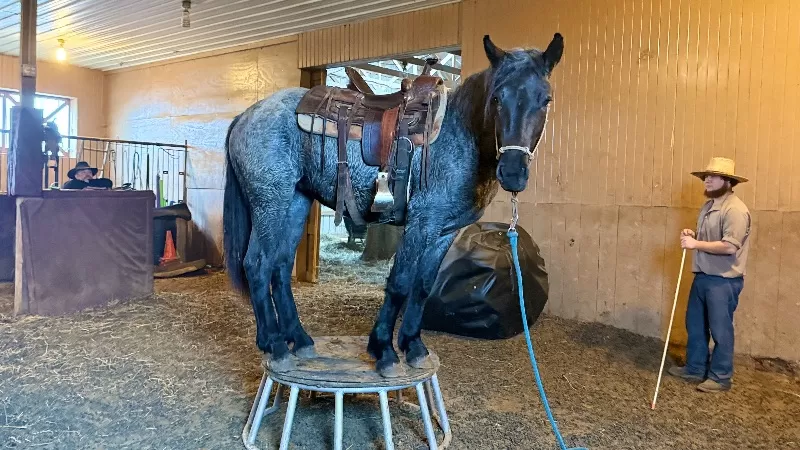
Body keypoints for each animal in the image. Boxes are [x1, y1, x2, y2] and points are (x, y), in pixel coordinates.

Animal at [222, 34, 564, 376]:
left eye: (545, 99)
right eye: (496, 98)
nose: (513, 172)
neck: (459, 135)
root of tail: (246, 116)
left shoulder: (443, 232)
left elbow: (423, 285)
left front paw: (413, 346)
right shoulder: (421, 223)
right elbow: (400, 282)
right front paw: (384, 349)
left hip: (296, 202)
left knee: (279, 266)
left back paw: (300, 340)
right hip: (270, 203)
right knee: (257, 264)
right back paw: (276, 345)